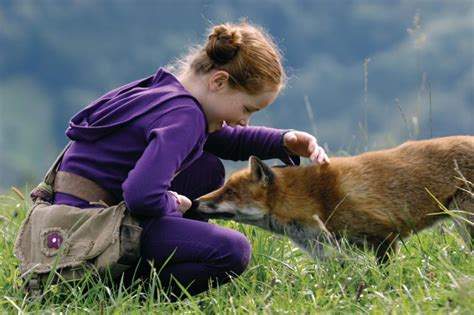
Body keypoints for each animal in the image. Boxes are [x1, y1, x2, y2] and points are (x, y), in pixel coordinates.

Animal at [193, 137, 474, 262]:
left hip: (465, 220)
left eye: (230, 191)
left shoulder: (383, 237)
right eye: (224, 187)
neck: (316, 199)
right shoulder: (332, 256)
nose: (194, 202)